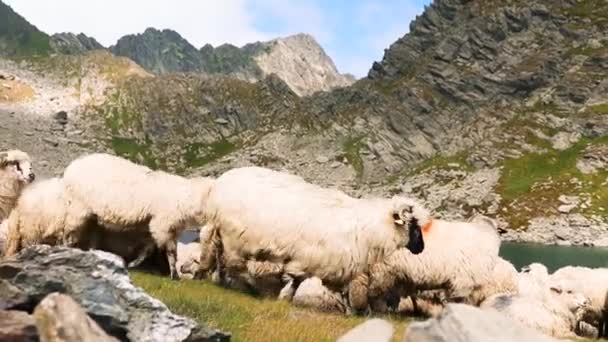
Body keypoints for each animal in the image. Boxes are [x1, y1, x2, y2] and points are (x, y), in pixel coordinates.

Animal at [200, 166, 428, 312]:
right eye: (413, 224)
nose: (421, 248)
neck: (369, 230)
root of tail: (220, 182)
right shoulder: (311, 259)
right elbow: (298, 281)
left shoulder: (334, 265)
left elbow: (338, 290)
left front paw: (350, 311)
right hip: (233, 237)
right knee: (230, 262)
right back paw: (241, 285)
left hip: (221, 232)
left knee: (216, 254)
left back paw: (215, 278)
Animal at [366, 215, 504, 312]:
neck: (483, 232)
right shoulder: (463, 281)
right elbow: (458, 301)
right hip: (382, 270)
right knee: (375, 294)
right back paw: (380, 311)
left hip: (392, 273)